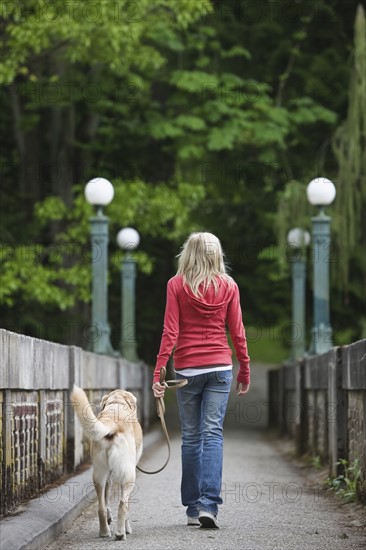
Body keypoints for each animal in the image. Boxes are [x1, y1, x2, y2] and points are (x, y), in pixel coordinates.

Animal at [70, 386, 143, 540]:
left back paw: (104, 531)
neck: (117, 404)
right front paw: (127, 528)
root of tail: (112, 423)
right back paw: (120, 533)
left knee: (101, 507)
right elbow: (127, 505)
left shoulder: (109, 475)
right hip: (129, 476)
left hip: (98, 474)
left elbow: (107, 497)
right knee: (123, 504)